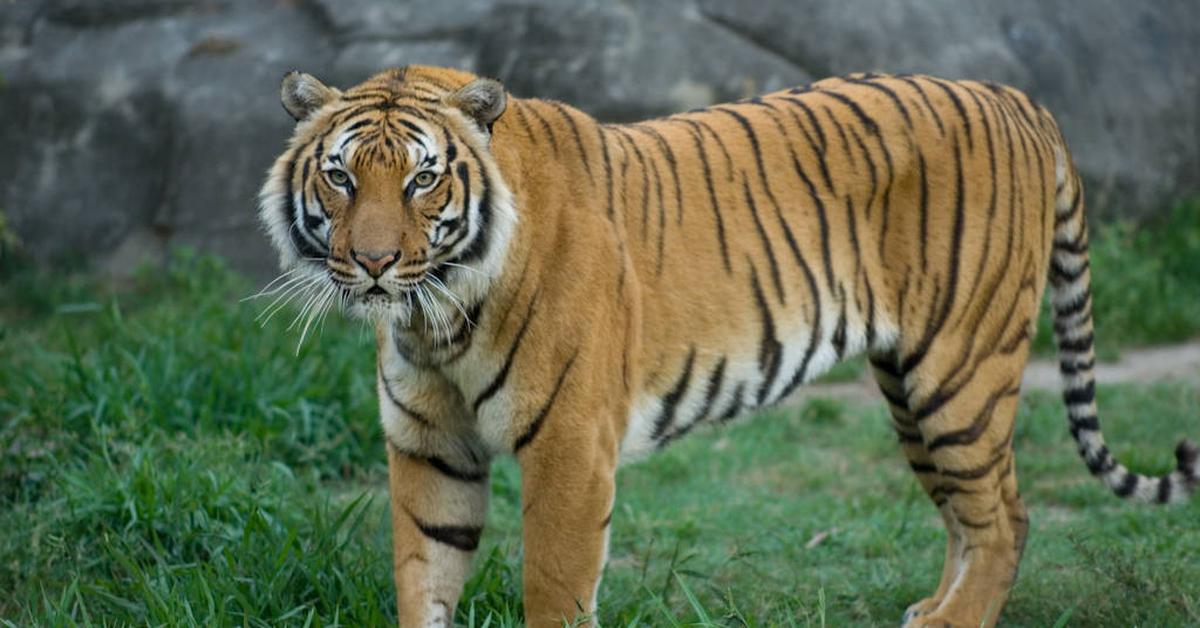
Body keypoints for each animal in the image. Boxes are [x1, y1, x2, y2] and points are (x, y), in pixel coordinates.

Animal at [258, 66, 1195, 624]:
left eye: (423, 179)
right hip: (910, 385)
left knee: (1006, 517)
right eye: (340, 176)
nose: (374, 263)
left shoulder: (570, 448)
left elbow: (553, 587)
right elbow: (423, 576)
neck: (435, 314)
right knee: (971, 514)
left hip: (960, 370)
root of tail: (1015, 97)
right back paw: (930, 611)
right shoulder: (431, 447)